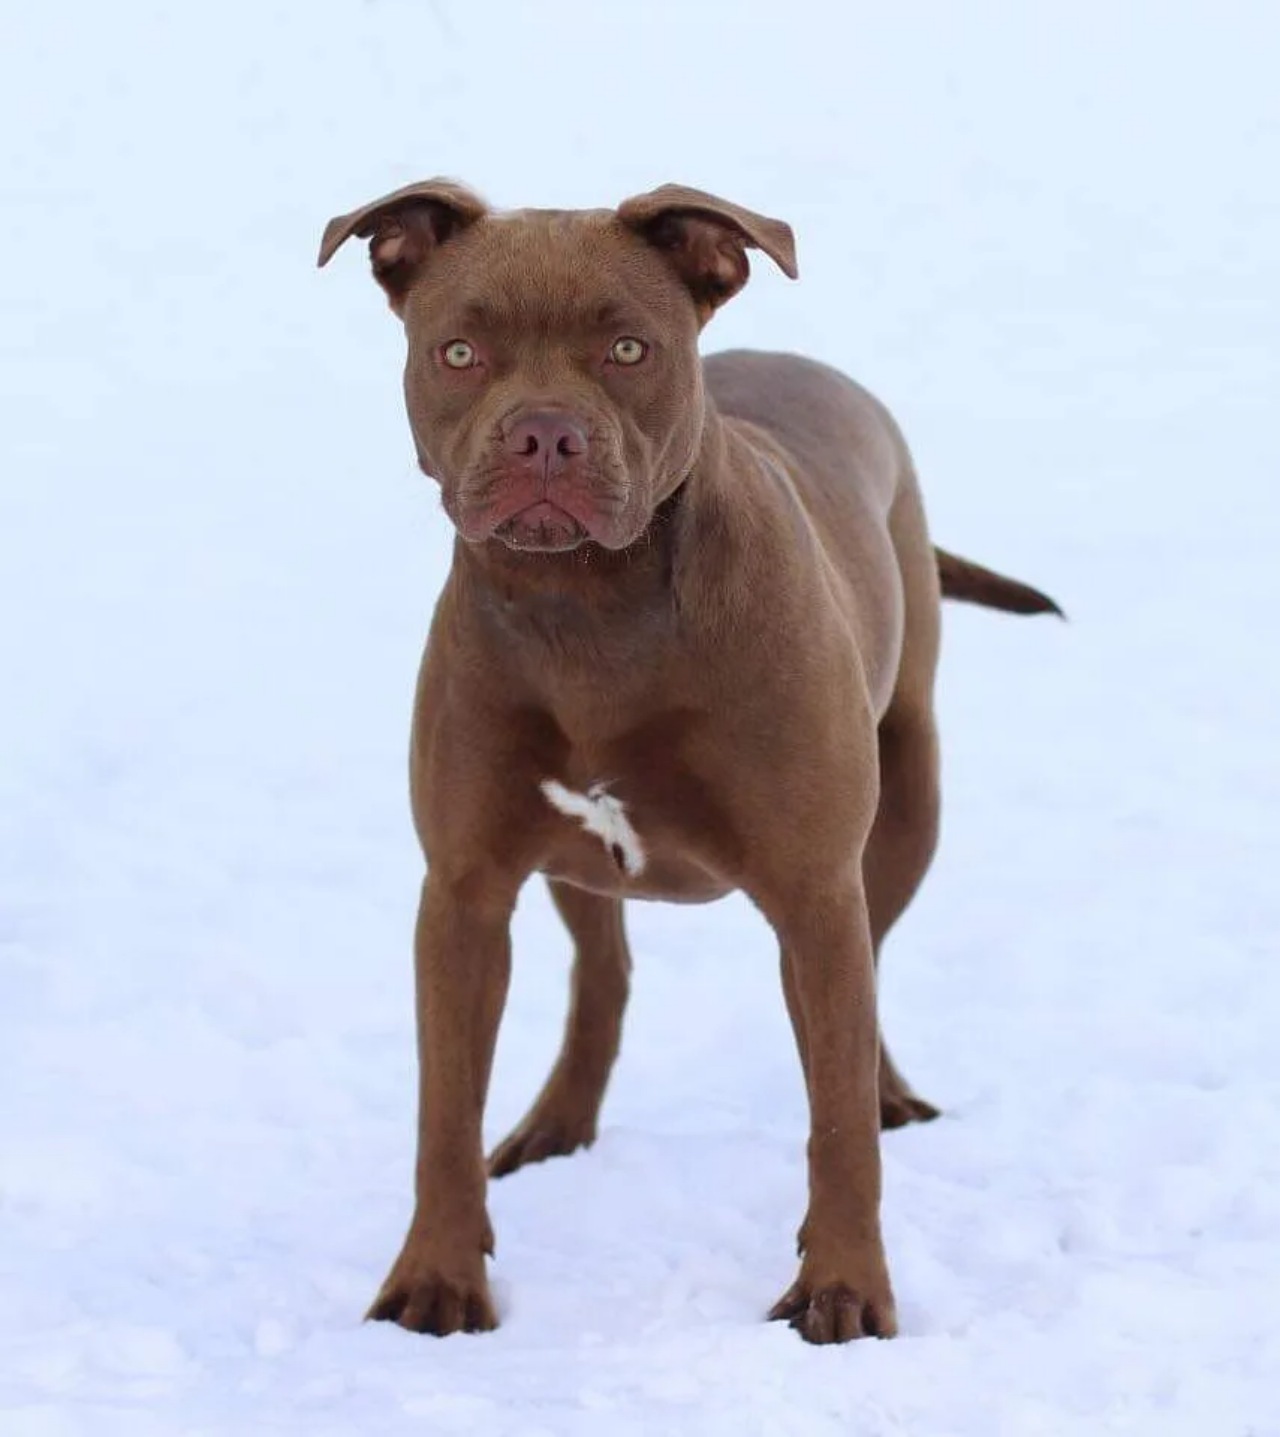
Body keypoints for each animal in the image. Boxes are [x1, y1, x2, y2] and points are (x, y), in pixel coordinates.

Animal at [320, 182, 1063, 1345]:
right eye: (459, 352)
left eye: (628, 347)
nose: (543, 434)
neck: (586, 610)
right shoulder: (463, 893)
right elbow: (444, 1109)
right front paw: (436, 1279)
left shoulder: (815, 890)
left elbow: (836, 1123)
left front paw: (843, 1290)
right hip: (577, 865)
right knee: (603, 978)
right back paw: (554, 1125)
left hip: (908, 798)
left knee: (869, 982)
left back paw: (890, 1092)